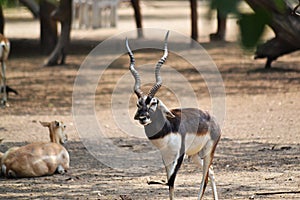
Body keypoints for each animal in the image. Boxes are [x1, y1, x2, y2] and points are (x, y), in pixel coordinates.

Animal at [125, 32, 221, 199]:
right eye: (138, 104)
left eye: (154, 102)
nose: (143, 117)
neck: (167, 129)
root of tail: (212, 118)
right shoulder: (166, 157)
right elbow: (170, 185)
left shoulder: (179, 156)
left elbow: (171, 181)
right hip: (194, 154)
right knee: (211, 172)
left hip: (208, 151)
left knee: (205, 178)